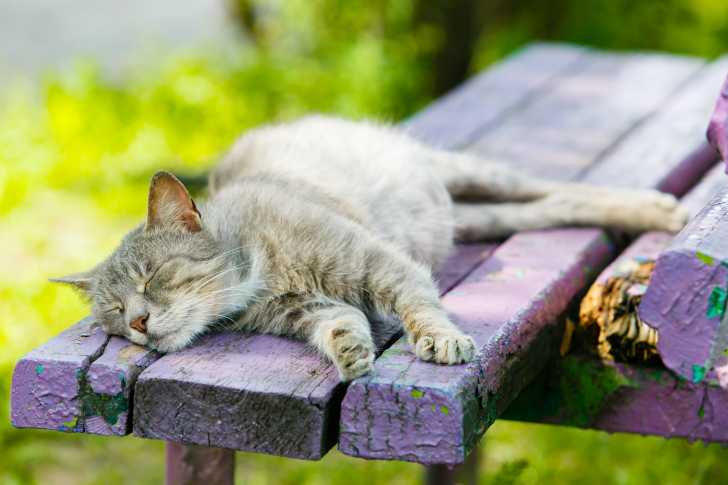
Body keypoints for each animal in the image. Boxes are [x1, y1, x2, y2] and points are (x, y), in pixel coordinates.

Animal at [51, 115, 688, 380]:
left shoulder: (376, 260)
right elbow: (337, 320)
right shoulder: (303, 309)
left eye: (151, 277)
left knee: (555, 187)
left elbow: (417, 301)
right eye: (113, 313)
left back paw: (658, 208)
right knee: (544, 207)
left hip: (471, 174)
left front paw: (440, 339)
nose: (137, 324)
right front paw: (351, 350)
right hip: (470, 217)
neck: (254, 268)